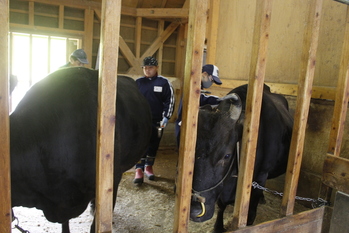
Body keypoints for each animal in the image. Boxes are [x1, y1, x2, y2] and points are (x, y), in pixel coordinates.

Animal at [189, 84, 292, 232]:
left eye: (227, 155)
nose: (194, 211)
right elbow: (222, 204)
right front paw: (218, 226)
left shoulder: (261, 176)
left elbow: (252, 208)